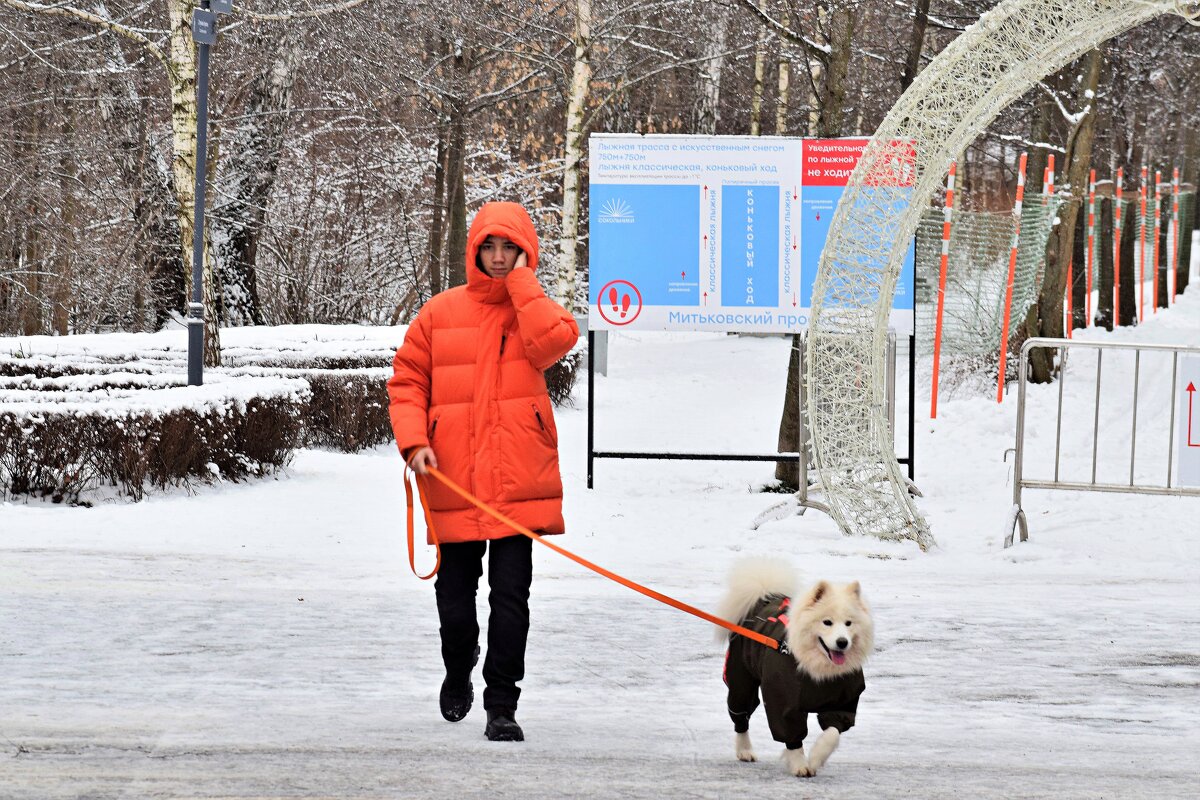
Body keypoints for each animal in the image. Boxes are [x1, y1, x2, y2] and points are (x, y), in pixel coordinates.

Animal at [710, 561, 873, 777]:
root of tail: (763, 596)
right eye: (827, 622)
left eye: (848, 623)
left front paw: (816, 758)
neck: (817, 669)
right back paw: (745, 751)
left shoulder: (843, 701)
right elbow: (792, 734)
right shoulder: (783, 700)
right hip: (741, 680)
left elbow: (832, 734)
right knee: (741, 717)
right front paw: (800, 765)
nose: (842, 642)